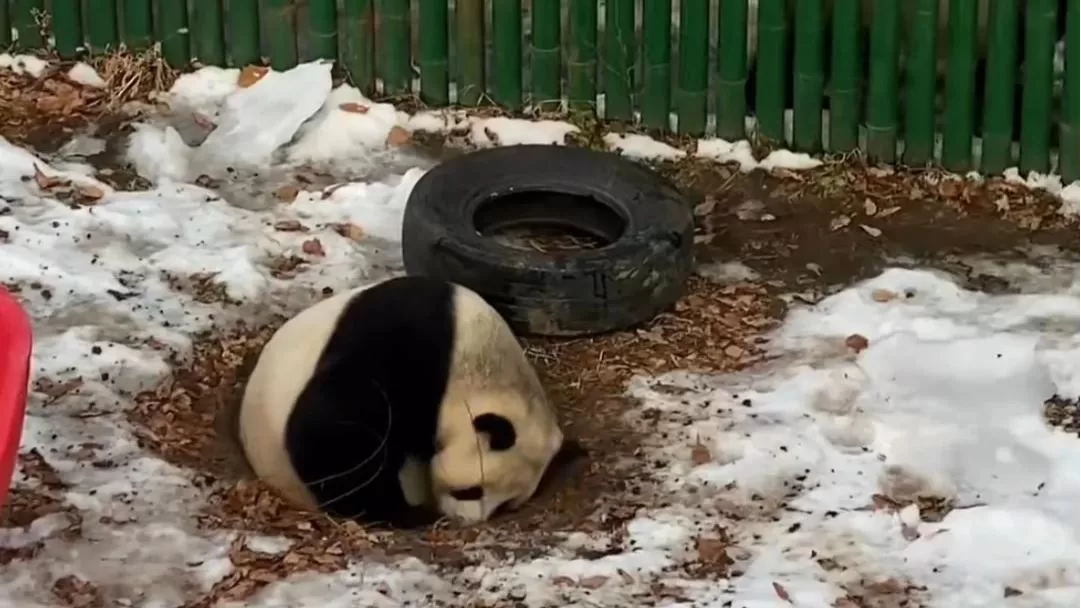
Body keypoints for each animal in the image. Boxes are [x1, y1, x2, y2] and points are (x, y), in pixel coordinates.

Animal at [237, 275, 566, 527]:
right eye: (471, 491)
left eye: (505, 505)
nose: (465, 521)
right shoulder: (408, 343)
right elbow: (336, 427)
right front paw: (398, 512)